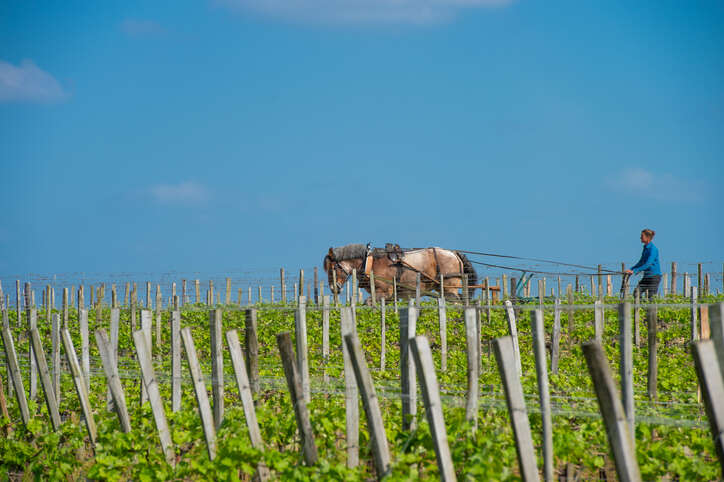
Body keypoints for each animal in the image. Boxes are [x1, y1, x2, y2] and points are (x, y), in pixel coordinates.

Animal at [322, 245, 476, 302]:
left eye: (333, 268)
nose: (333, 288)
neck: (370, 263)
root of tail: (453, 253)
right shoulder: (389, 297)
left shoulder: (384, 292)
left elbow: (368, 303)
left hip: (449, 287)